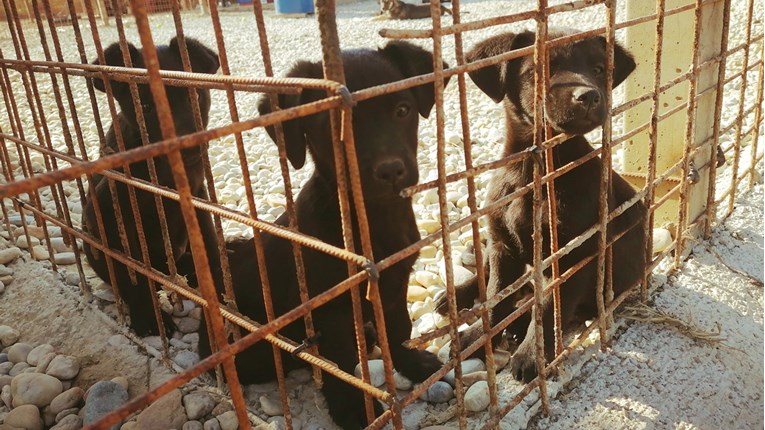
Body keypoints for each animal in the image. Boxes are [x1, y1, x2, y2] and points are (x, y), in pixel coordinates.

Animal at [82, 37, 222, 336]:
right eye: (144, 107)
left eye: (193, 96)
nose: (188, 148)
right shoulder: (108, 216)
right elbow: (134, 275)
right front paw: (149, 318)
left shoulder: (198, 201)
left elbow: (211, 254)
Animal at [198, 39, 448, 426]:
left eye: (402, 110)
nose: (390, 171)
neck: (372, 218)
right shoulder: (329, 309)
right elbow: (338, 363)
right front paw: (355, 410)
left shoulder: (394, 283)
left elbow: (398, 328)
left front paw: (411, 363)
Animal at [436, 30, 644, 382]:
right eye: (541, 68)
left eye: (599, 70)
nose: (589, 96)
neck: (534, 172)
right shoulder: (502, 246)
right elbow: (496, 297)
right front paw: (477, 338)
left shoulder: (571, 257)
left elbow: (546, 307)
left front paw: (531, 355)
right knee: (488, 276)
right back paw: (460, 295)